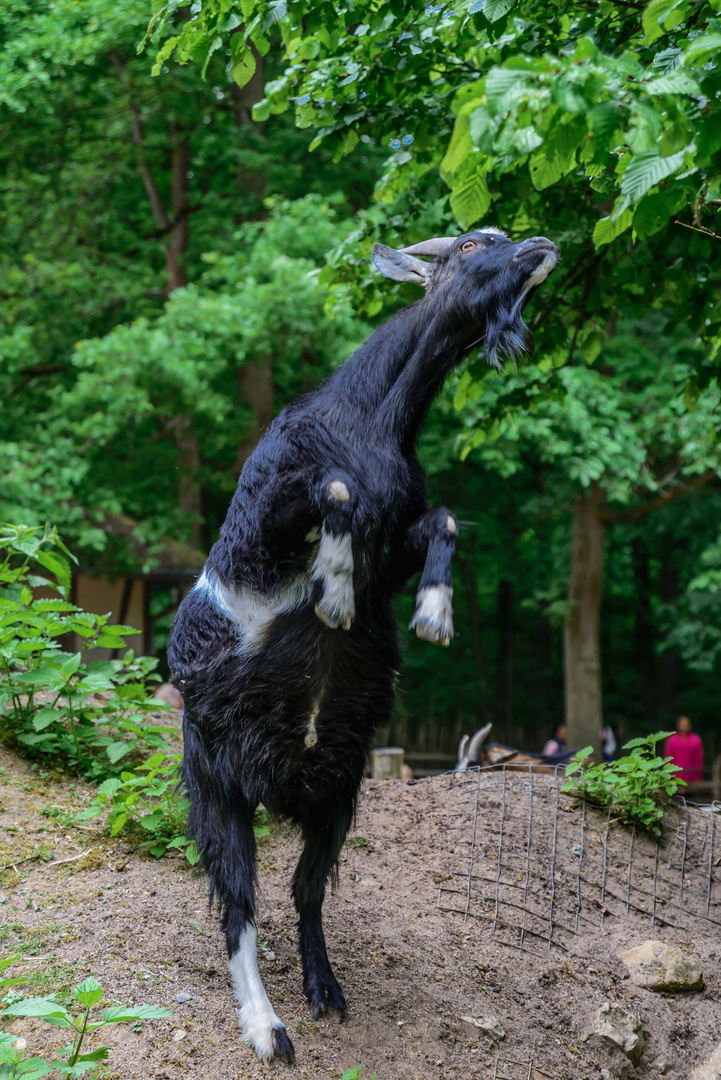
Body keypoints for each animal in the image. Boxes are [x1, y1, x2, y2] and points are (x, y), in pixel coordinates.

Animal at [167, 221, 556, 1062]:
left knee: (306, 891)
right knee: (237, 900)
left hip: (339, 790)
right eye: (473, 241)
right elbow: (335, 490)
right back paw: (267, 1030)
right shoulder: (268, 514)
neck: (371, 416)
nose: (540, 245)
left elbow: (441, 519)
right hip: (217, 782)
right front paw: (337, 589)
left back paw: (325, 992)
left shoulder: (402, 531)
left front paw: (434, 615)